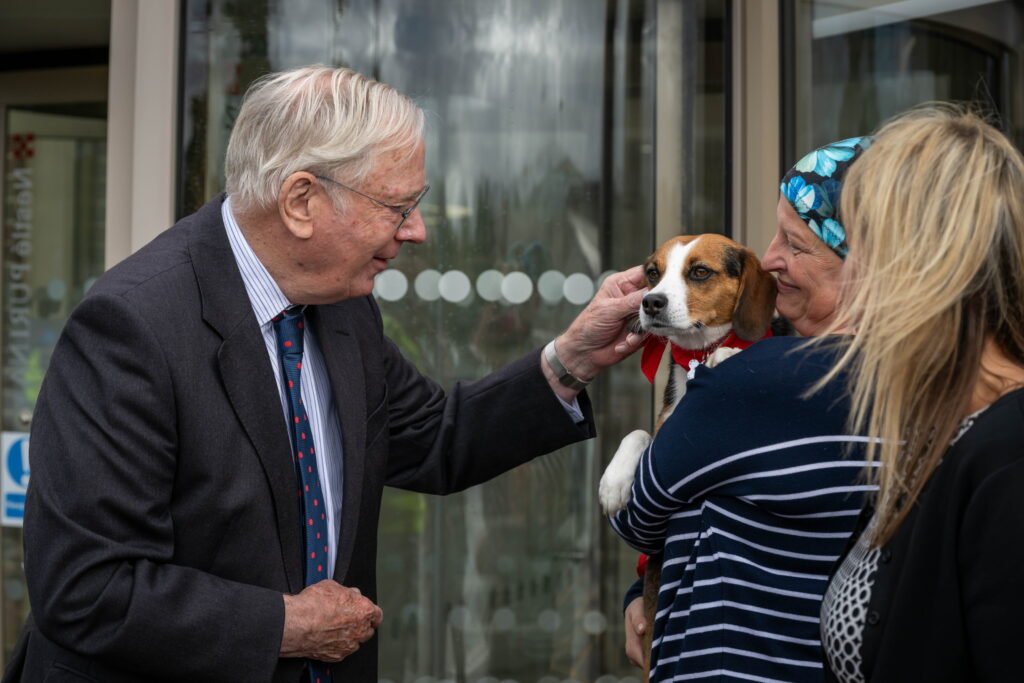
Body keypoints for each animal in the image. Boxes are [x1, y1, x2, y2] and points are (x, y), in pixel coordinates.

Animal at [598, 233, 770, 679]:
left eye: (700, 272)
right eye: (651, 273)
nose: (650, 302)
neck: (694, 356)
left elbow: (730, 354)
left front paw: (727, 356)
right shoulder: (660, 431)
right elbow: (638, 432)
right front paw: (614, 483)